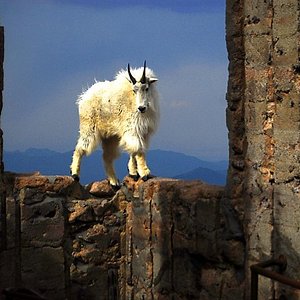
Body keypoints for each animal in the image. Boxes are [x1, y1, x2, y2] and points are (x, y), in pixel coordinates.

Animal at [70, 60, 159, 188]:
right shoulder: (132, 128)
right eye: (134, 90)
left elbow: (135, 150)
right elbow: (139, 149)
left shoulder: (143, 132)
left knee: (107, 157)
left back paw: (114, 181)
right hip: (89, 127)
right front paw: (144, 173)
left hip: (110, 137)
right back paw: (75, 174)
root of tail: (84, 97)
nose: (141, 108)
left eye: (146, 88)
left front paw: (133, 172)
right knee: (80, 148)